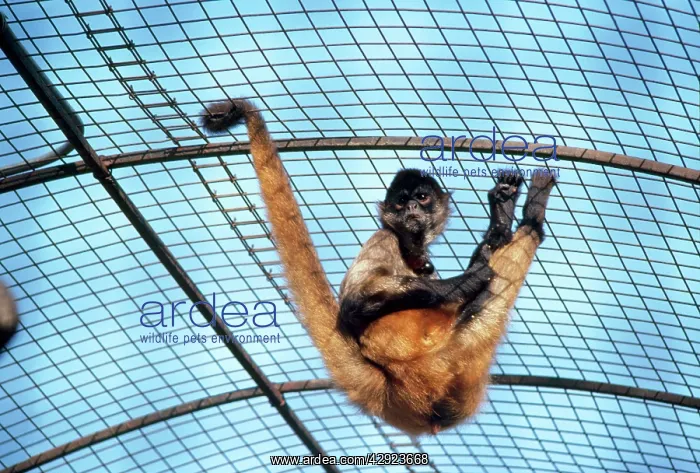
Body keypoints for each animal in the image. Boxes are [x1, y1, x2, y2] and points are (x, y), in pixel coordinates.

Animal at [200, 98, 556, 436]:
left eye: (422, 197)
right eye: (401, 201)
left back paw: (505, 214)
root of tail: (389, 385)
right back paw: (532, 218)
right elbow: (356, 302)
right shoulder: (383, 237)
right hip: (443, 361)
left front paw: (500, 213)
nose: (411, 208)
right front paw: (463, 281)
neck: (408, 248)